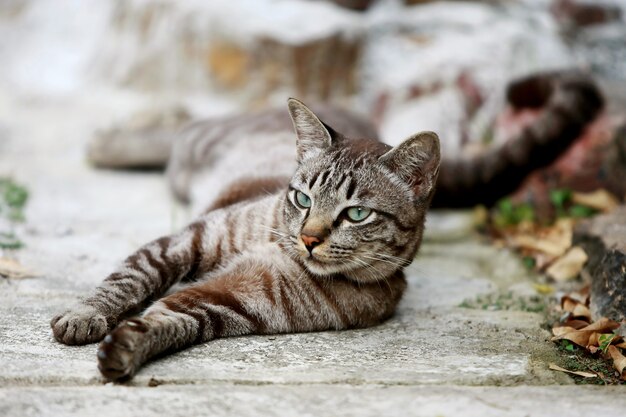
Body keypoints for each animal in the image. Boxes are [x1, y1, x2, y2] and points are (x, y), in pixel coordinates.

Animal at [50, 98, 438, 380]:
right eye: (303, 199)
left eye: (357, 214)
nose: (308, 239)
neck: (282, 249)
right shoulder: (188, 240)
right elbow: (127, 281)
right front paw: (85, 314)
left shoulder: (229, 301)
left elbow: (168, 320)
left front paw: (129, 347)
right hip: (196, 154)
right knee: (180, 130)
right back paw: (118, 136)